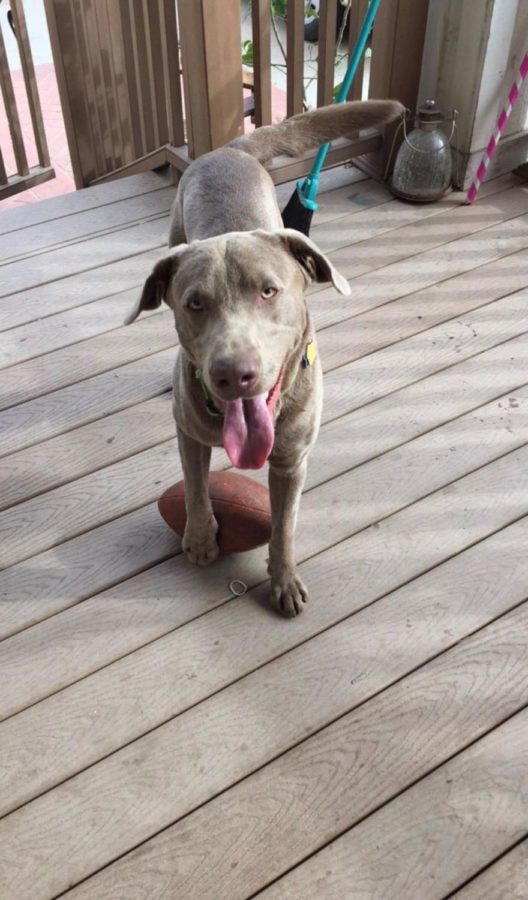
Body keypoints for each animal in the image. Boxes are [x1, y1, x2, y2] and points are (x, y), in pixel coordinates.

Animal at [127, 100, 400, 620]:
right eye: (194, 303)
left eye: (269, 291)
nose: (234, 374)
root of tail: (227, 149)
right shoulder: (189, 433)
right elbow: (195, 487)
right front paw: (200, 539)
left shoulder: (292, 461)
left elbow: (284, 525)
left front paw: (284, 580)